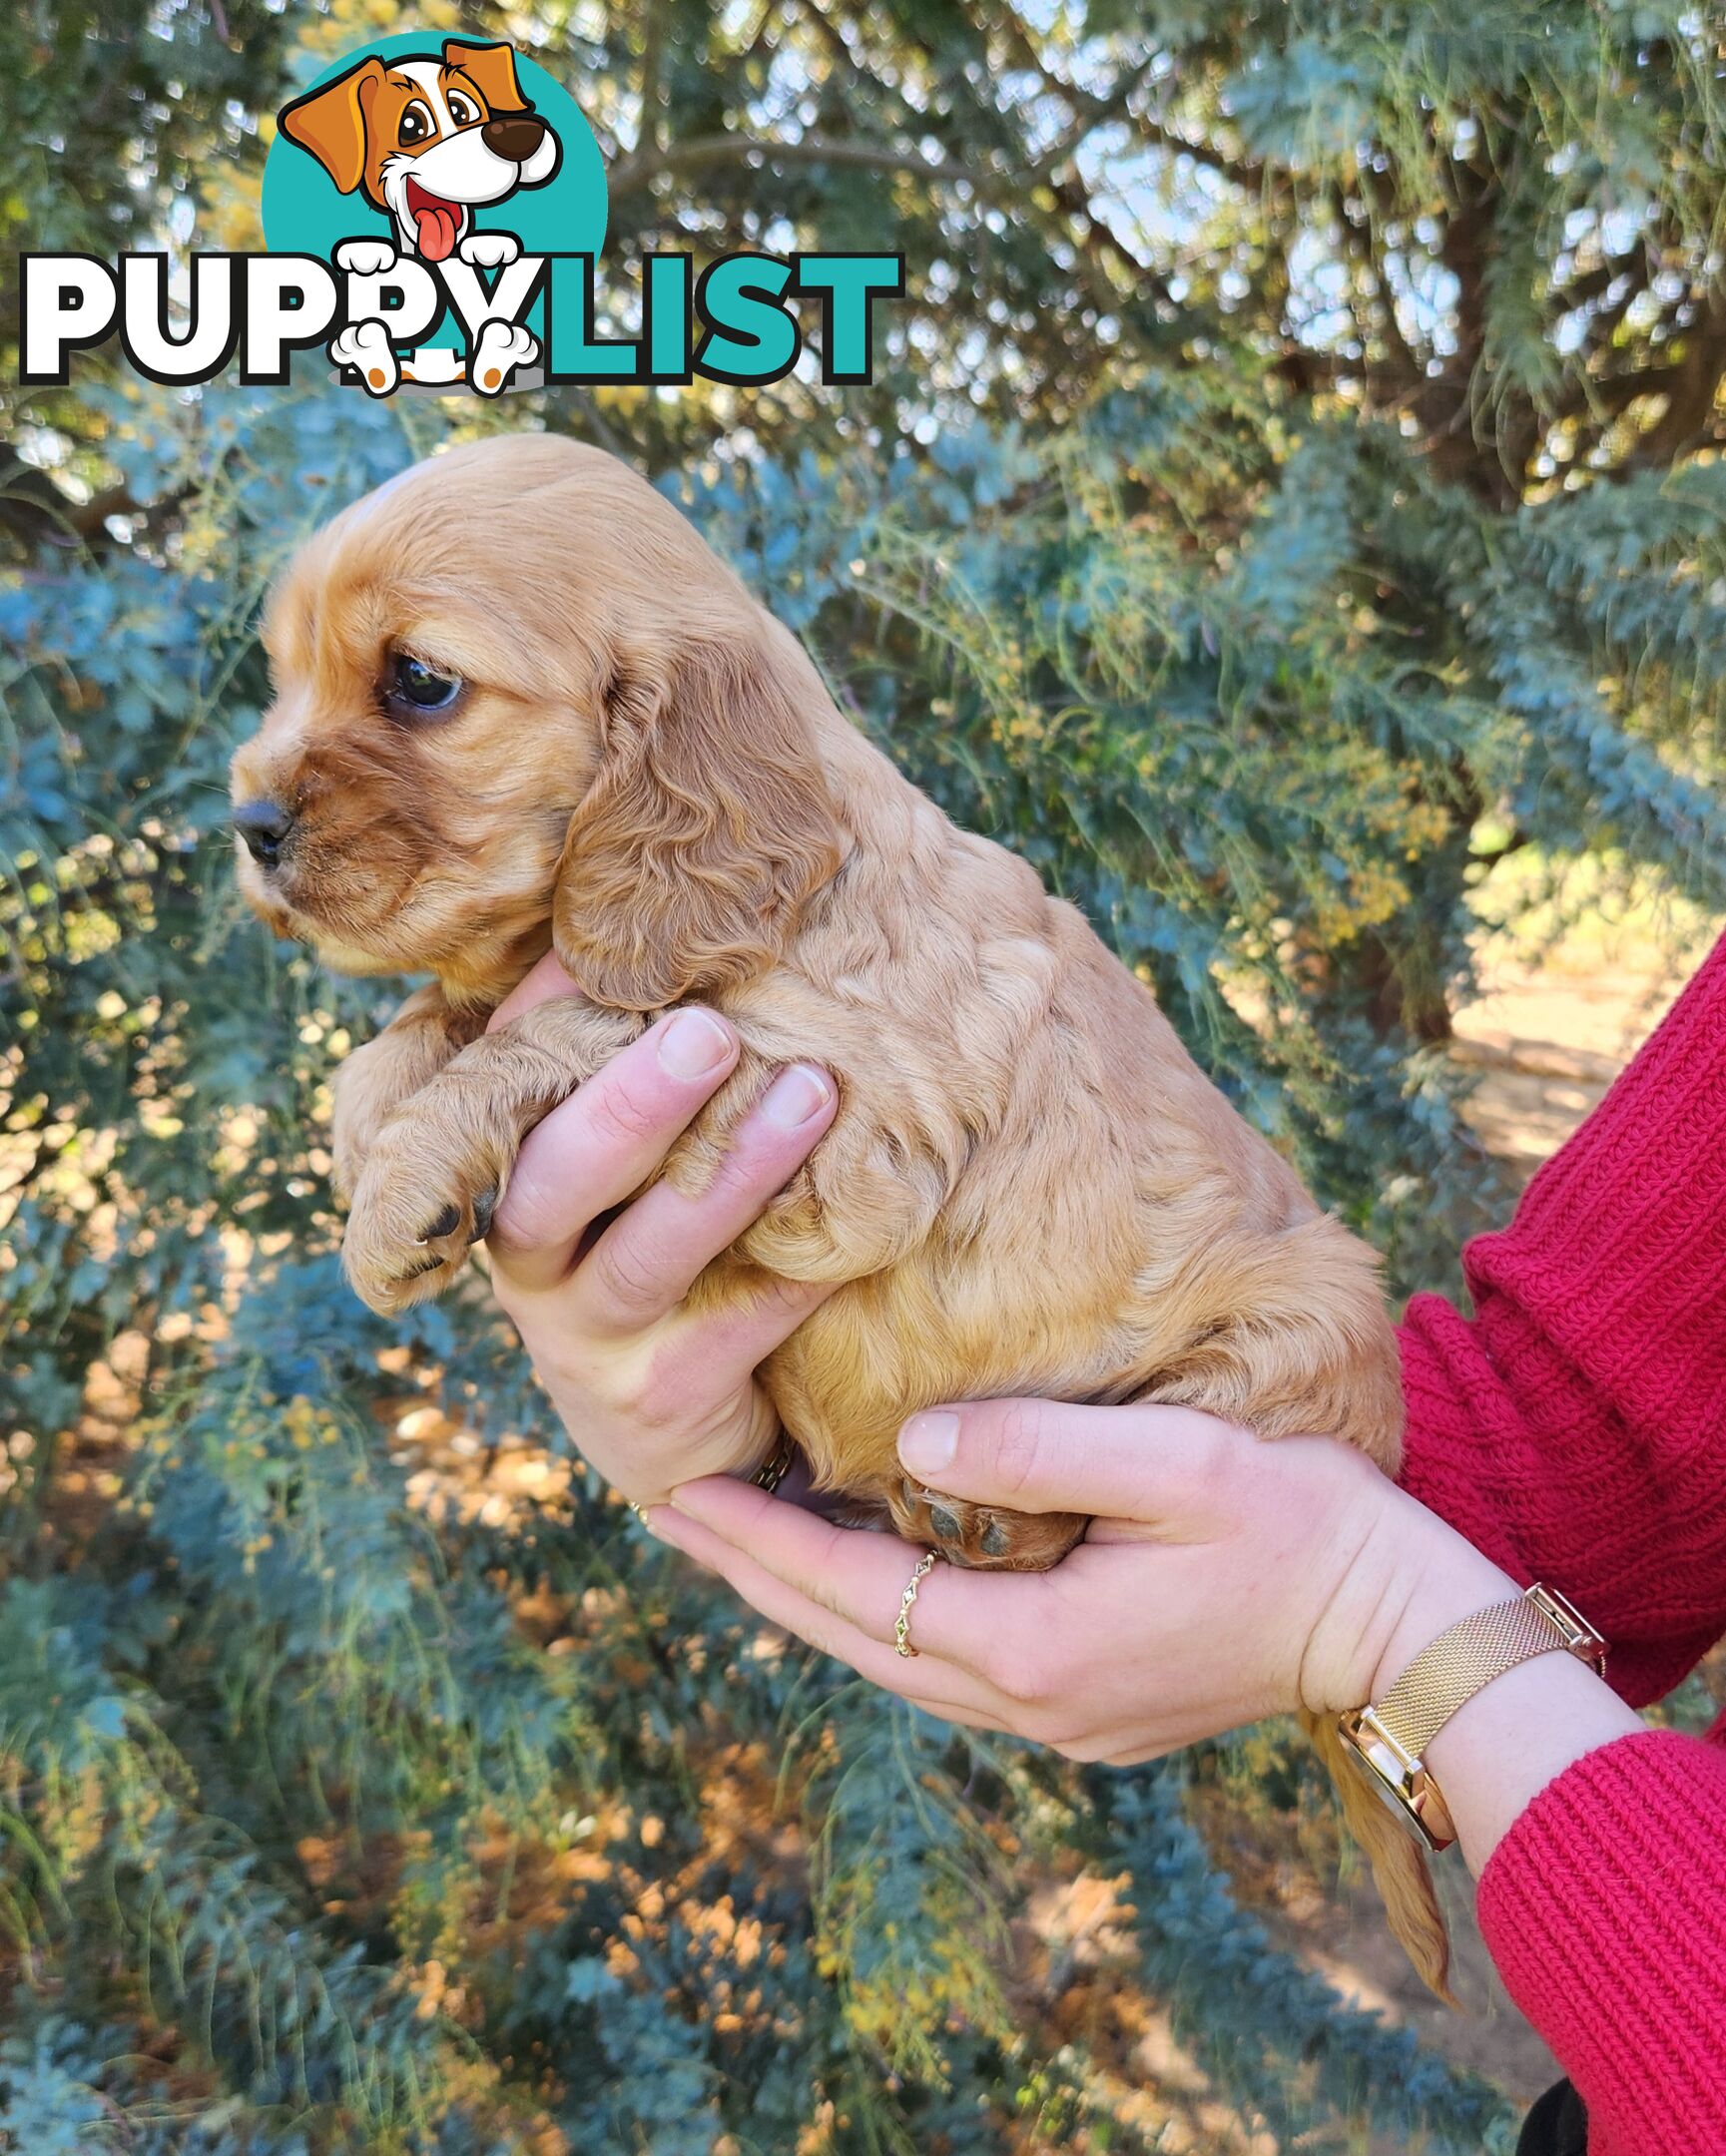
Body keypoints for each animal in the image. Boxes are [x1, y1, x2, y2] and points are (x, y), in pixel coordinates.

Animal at [229, 433, 1440, 1983]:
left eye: (420, 680)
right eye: (285, 672)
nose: (249, 825)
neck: (785, 875)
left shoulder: (851, 1138)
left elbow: (588, 1024)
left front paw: (403, 1181)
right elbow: (438, 1024)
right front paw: (376, 1113)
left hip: (1295, 1334)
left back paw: (984, 1520)